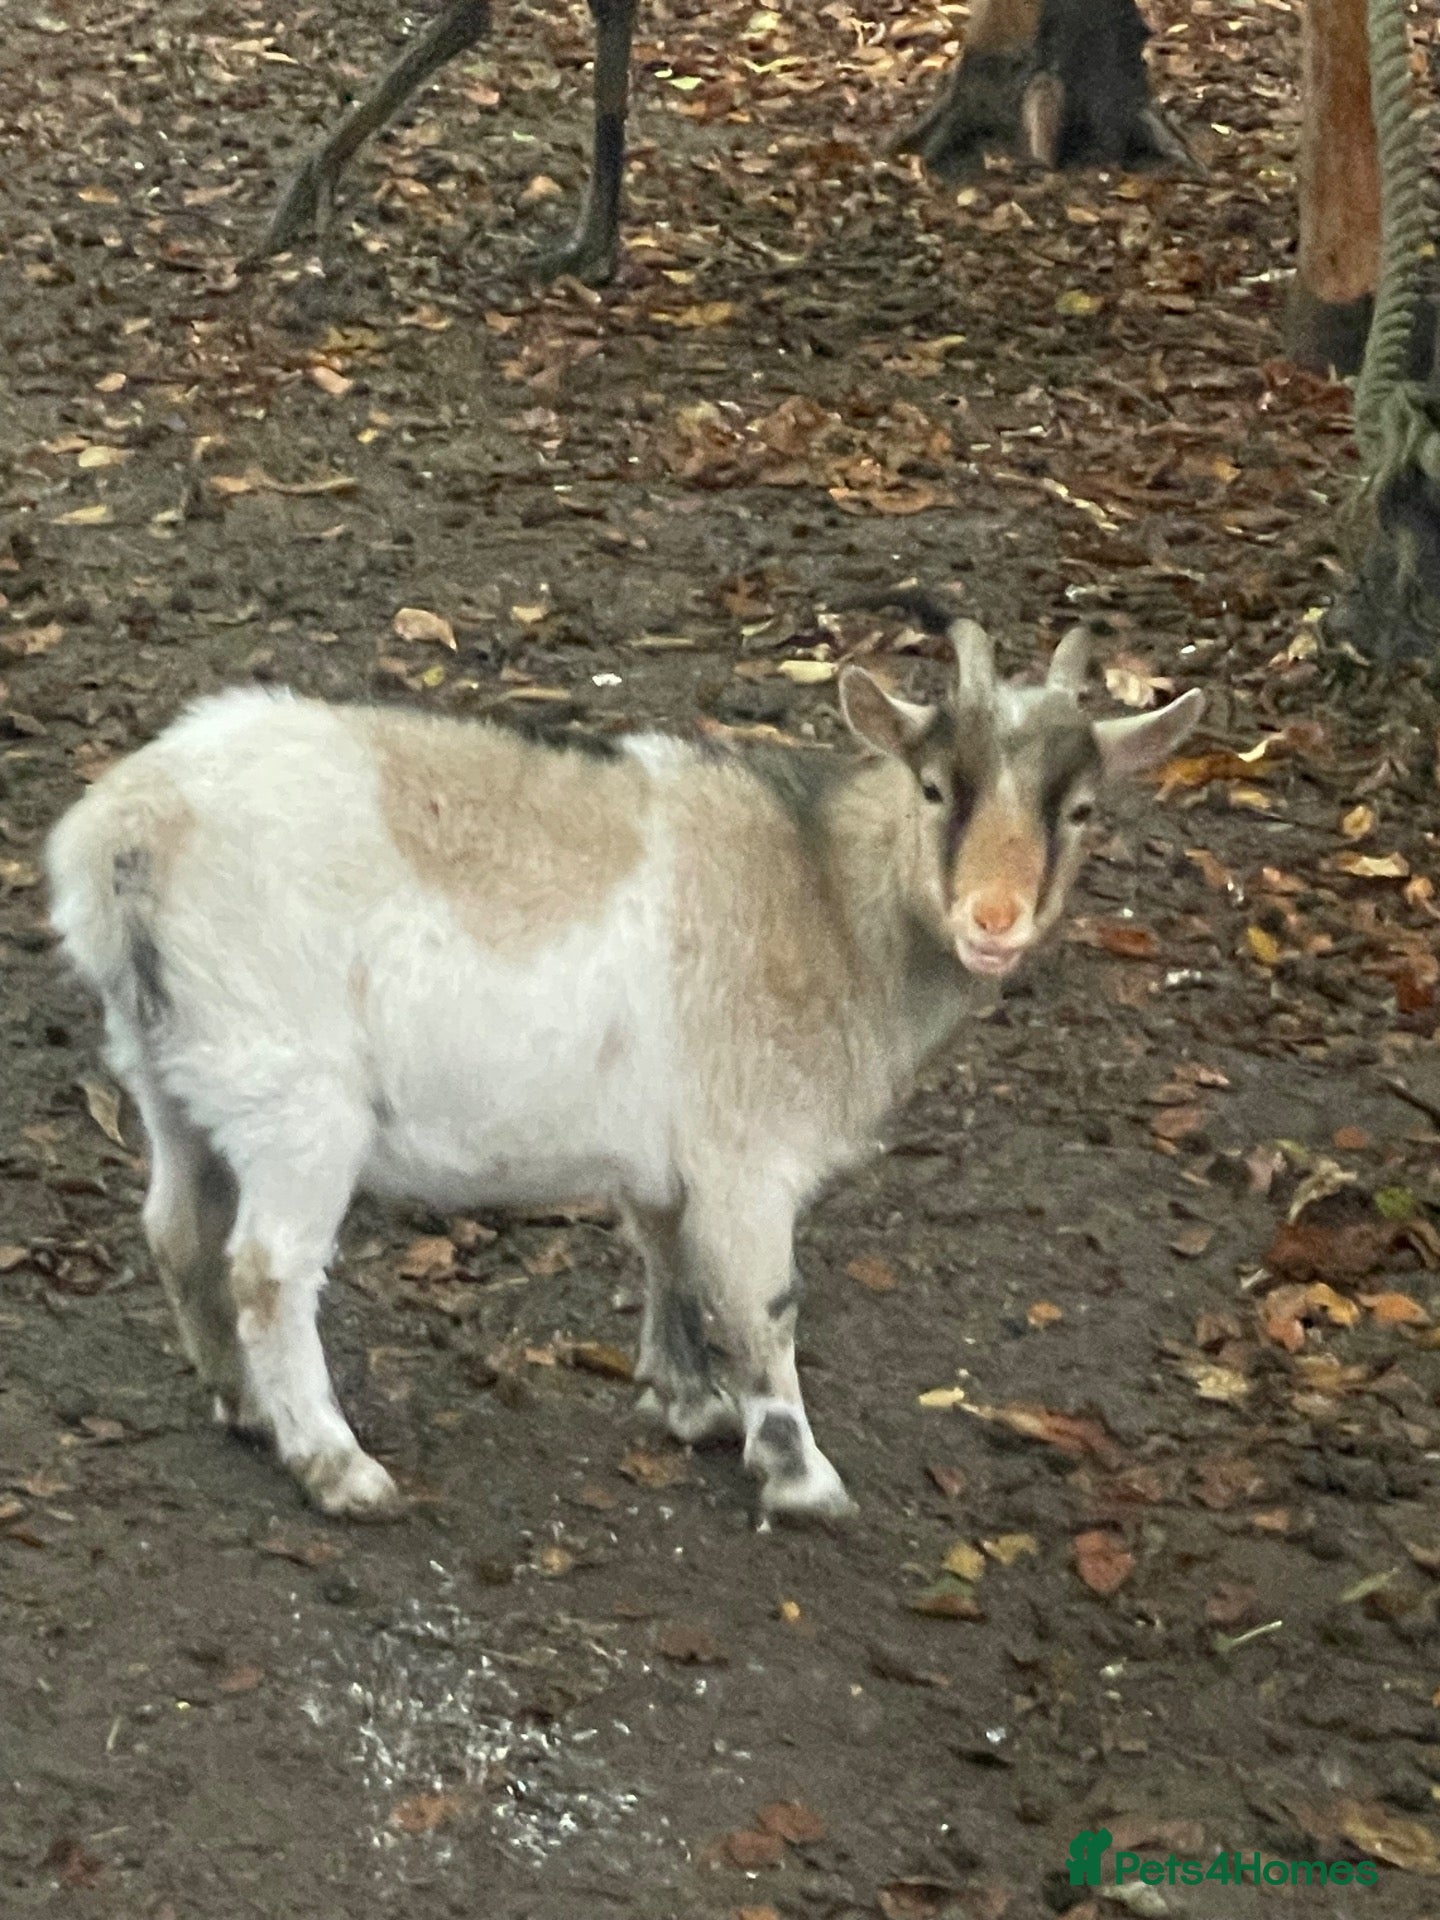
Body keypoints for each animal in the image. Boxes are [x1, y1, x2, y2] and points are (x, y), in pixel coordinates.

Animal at [47, 608, 1201, 1522]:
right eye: (932, 788)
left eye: (1080, 809)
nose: (994, 921)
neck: (823, 890)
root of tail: (126, 837)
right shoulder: (748, 1152)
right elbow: (765, 1301)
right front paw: (798, 1472)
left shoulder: (668, 1144)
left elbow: (665, 1249)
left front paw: (689, 1402)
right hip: (296, 1097)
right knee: (267, 1268)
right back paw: (337, 1467)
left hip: (173, 1070)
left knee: (178, 1228)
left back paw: (244, 1407)